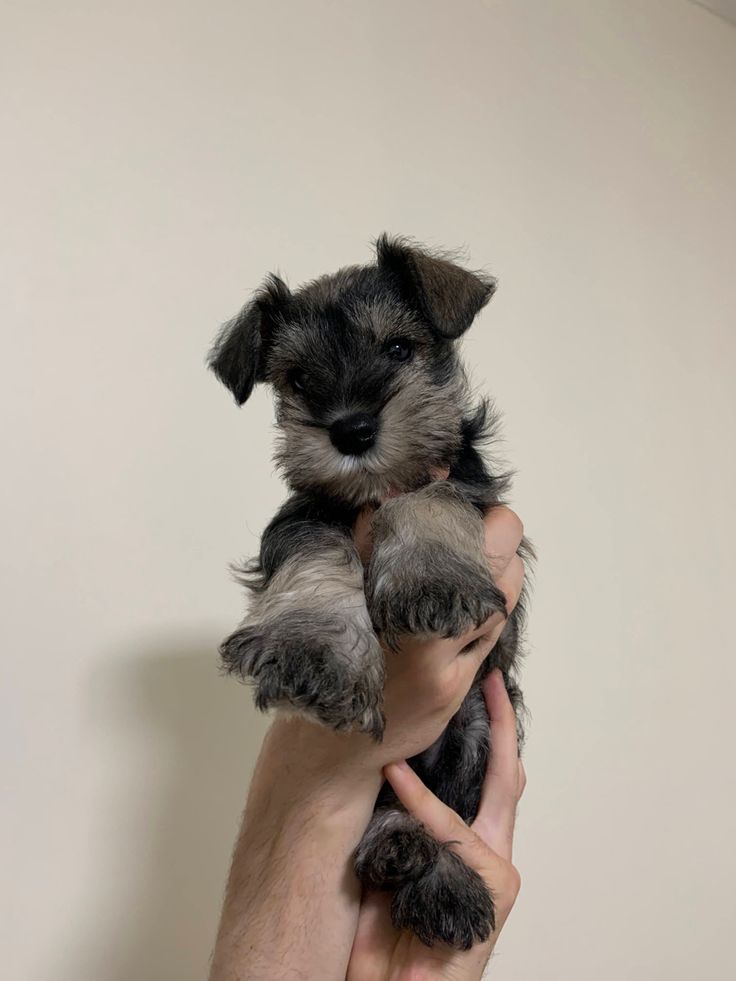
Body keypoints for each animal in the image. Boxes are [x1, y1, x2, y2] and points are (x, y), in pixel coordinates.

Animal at [207, 235, 528, 948]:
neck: (368, 493)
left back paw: (440, 882)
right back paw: (405, 855)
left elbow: (426, 499)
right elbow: (316, 554)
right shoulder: (304, 514)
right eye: (298, 379)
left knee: (442, 807)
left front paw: (431, 579)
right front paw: (312, 652)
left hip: (477, 732)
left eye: (399, 349)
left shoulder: (457, 484)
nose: (351, 430)